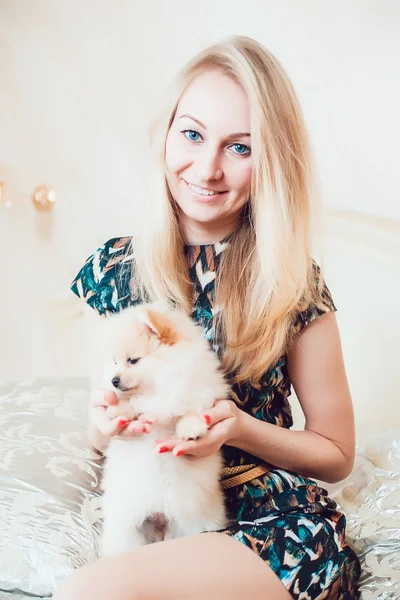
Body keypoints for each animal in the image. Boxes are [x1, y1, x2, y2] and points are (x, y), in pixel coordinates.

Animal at [98, 302, 228, 556]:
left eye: (133, 360)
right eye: (115, 362)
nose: (113, 381)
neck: (160, 387)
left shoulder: (197, 393)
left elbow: (188, 410)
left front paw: (191, 427)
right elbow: (131, 404)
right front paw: (119, 410)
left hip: (192, 528)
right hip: (127, 533)